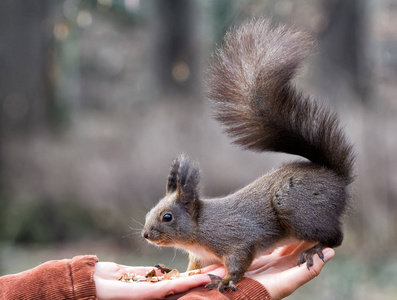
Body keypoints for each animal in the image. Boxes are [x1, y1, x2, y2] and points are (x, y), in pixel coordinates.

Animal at [141, 17, 354, 292]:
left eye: (167, 217)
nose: (145, 234)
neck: (199, 229)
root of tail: (335, 176)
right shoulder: (201, 257)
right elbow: (192, 268)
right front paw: (170, 271)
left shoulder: (236, 238)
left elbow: (240, 260)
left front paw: (226, 280)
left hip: (300, 210)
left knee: (336, 237)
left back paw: (314, 248)